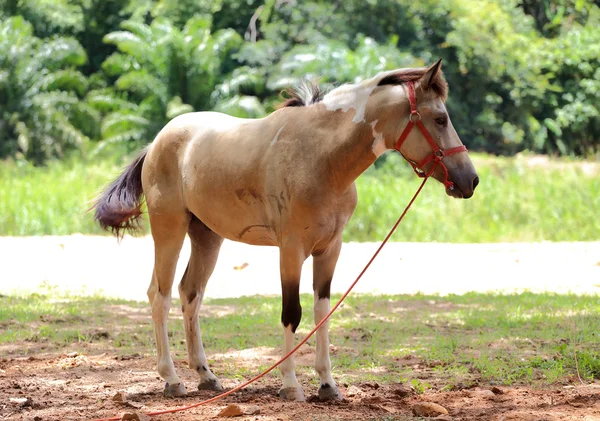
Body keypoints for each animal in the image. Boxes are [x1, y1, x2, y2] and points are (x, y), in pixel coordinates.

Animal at [91, 58, 478, 400]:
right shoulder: (291, 250)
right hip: (169, 230)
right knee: (161, 295)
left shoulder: (330, 250)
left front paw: (327, 385)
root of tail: (157, 141)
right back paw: (171, 379)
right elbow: (292, 313)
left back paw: (206, 376)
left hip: (207, 236)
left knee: (191, 295)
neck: (323, 157)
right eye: (440, 118)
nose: (470, 179)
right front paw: (291, 386)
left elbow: (322, 312)